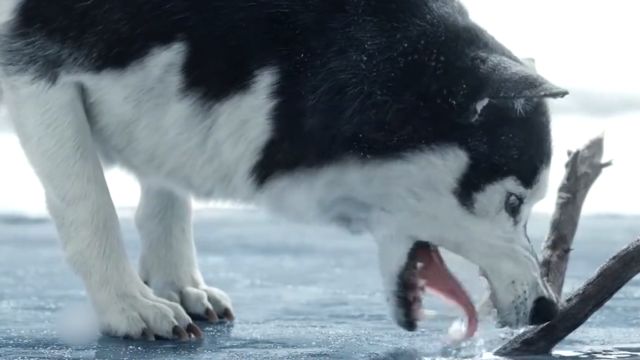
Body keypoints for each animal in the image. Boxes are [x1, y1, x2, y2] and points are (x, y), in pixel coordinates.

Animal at [0, 0, 568, 338]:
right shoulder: (39, 73)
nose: (549, 310)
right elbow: (91, 206)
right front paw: (127, 304)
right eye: (514, 201)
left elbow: (167, 196)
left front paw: (176, 283)